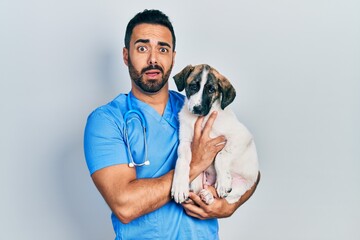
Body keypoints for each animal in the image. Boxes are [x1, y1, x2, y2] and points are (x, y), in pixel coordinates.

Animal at [172, 63, 258, 204]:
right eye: (193, 86)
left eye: (211, 90)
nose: (197, 109)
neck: (203, 120)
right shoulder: (185, 141)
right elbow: (182, 160)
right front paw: (179, 186)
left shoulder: (241, 136)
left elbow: (221, 155)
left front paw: (223, 182)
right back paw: (204, 194)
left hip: (241, 186)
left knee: (230, 197)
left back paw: (209, 194)